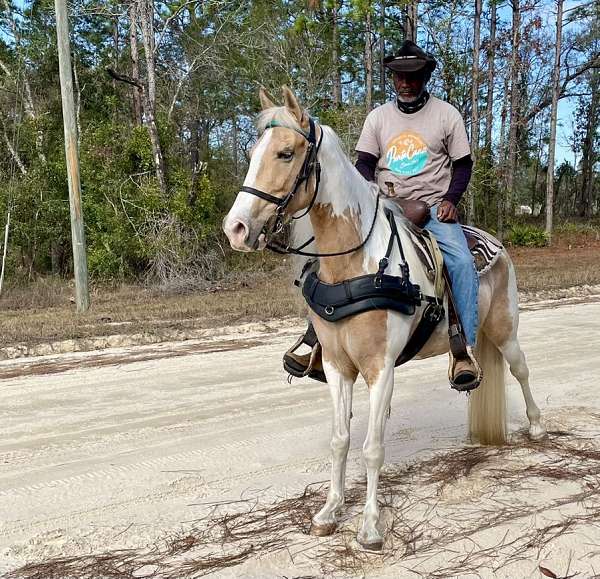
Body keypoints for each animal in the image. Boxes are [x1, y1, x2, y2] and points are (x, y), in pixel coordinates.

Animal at [223, 87, 548, 552]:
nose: (235, 228)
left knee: (521, 369)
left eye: (286, 153)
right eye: (253, 153)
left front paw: (370, 527)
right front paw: (329, 512)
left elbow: (373, 447)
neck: (357, 265)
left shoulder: (380, 369)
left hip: (505, 329)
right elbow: (341, 440)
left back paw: (537, 427)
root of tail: (496, 244)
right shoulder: (337, 366)